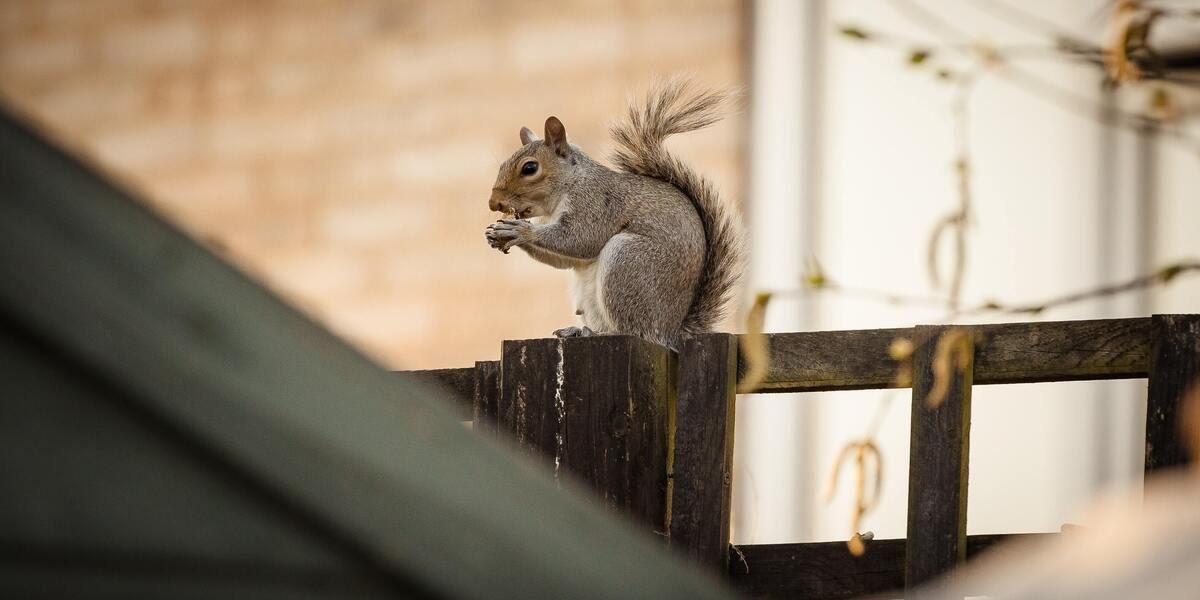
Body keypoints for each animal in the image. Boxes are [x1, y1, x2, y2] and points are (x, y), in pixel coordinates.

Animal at [484, 79, 739, 350]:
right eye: (502, 165)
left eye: (530, 168)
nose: (493, 203)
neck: (568, 186)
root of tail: (670, 332)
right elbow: (564, 259)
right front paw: (497, 234)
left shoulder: (596, 203)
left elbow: (580, 239)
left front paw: (519, 231)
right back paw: (579, 330)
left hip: (628, 263)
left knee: (635, 330)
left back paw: (598, 334)